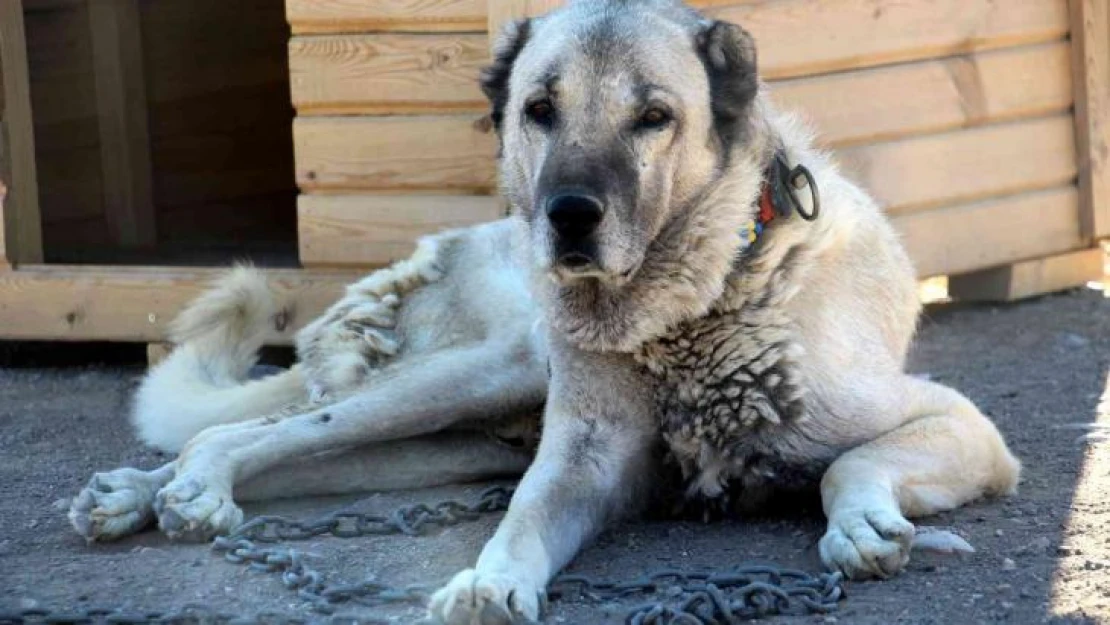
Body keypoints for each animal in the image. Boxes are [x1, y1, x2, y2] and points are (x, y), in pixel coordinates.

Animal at [69, 2, 1021, 621]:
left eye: (654, 116)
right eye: (539, 110)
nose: (567, 215)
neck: (705, 299)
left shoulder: (959, 424)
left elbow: (846, 464)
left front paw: (861, 524)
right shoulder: (581, 466)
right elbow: (524, 515)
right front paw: (489, 583)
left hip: (438, 441)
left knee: (292, 449)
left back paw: (147, 493)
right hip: (478, 374)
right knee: (251, 430)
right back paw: (172, 489)